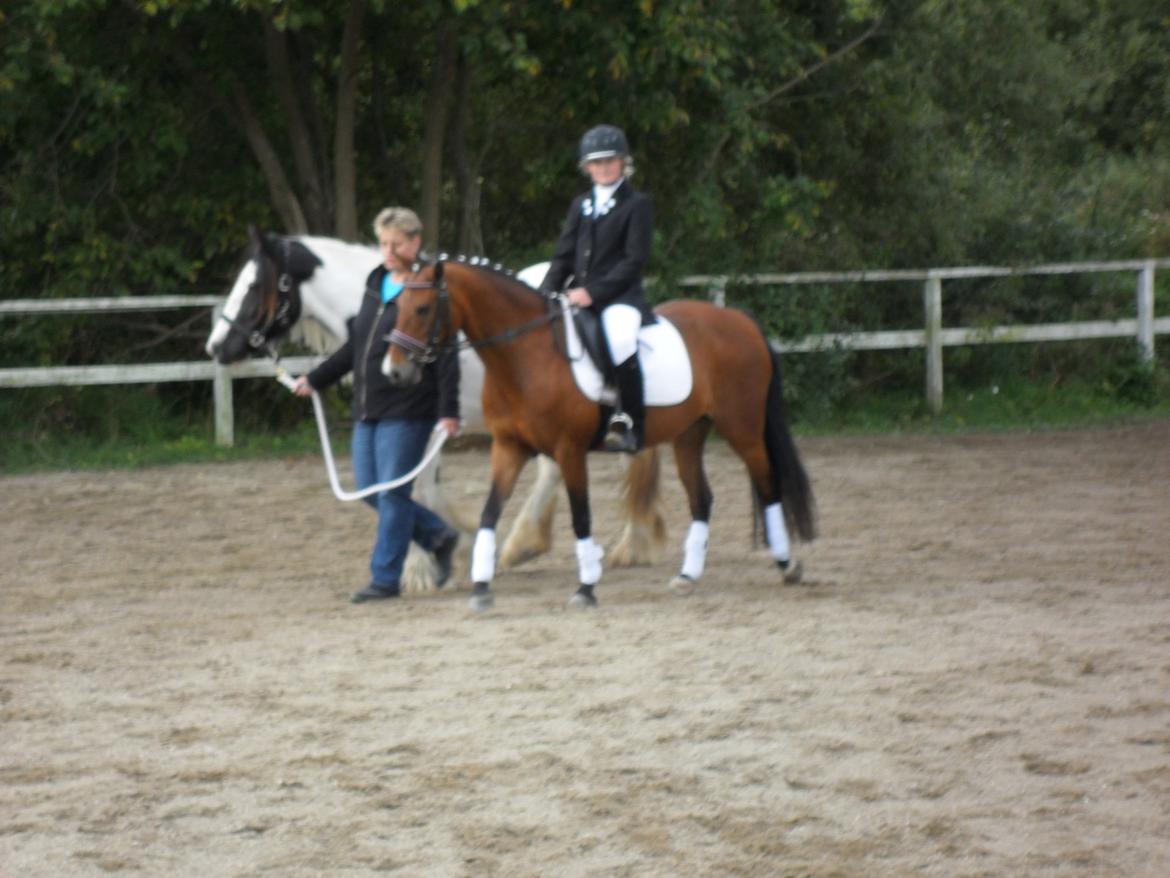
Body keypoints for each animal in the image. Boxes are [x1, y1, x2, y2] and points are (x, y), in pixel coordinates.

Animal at [383, 257, 814, 608]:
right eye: (396, 307)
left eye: (422, 308)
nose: (395, 373)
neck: (525, 355)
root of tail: (741, 319)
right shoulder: (508, 447)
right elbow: (490, 513)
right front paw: (480, 585)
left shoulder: (569, 450)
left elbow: (581, 517)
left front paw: (586, 587)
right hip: (690, 434)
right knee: (702, 499)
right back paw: (687, 577)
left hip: (743, 428)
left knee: (768, 485)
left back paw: (787, 564)